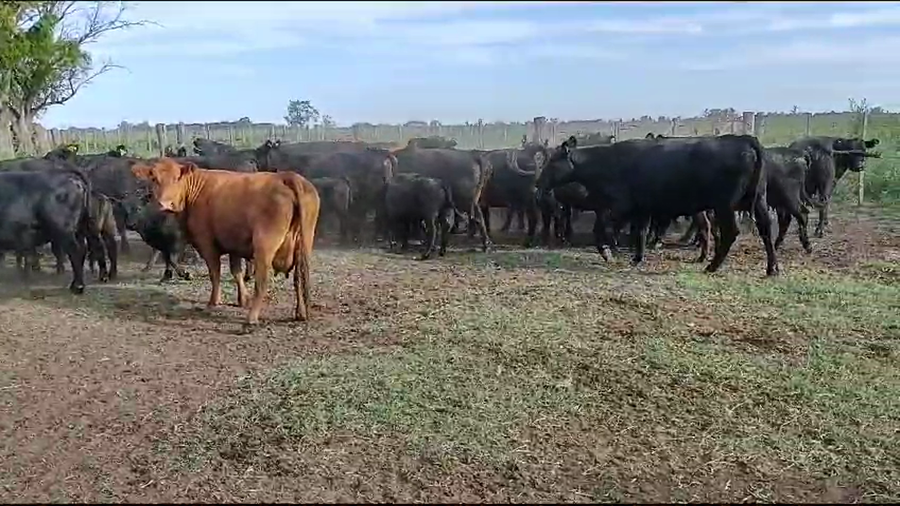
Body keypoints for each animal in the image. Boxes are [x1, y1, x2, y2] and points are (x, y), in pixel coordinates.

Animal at [131, 158, 320, 325]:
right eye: (154, 178)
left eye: (177, 178)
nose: (164, 204)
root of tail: (287, 176)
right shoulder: (234, 244)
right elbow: (236, 272)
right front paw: (242, 299)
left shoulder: (207, 243)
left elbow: (215, 273)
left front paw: (213, 302)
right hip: (304, 243)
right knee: (299, 277)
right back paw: (300, 313)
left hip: (265, 245)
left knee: (262, 281)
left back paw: (252, 319)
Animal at [537, 135, 779, 276]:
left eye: (552, 162)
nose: (538, 183)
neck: (607, 162)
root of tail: (744, 139)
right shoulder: (640, 208)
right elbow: (640, 232)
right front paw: (637, 258)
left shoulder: (617, 207)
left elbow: (601, 230)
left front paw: (608, 253)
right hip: (758, 200)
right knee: (766, 230)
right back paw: (772, 268)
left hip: (724, 205)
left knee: (731, 232)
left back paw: (711, 266)